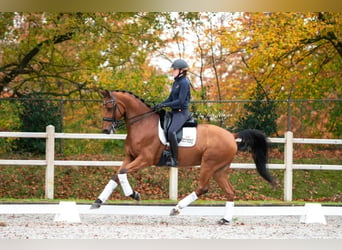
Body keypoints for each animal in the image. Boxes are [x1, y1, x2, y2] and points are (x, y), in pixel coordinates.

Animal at [90, 90, 276, 225]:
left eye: (109, 107)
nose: (106, 130)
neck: (142, 124)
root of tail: (231, 135)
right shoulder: (130, 157)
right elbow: (117, 174)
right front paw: (98, 202)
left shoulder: (145, 159)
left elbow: (122, 173)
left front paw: (134, 194)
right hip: (219, 169)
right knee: (230, 191)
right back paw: (225, 219)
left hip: (209, 164)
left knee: (203, 187)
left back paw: (177, 208)